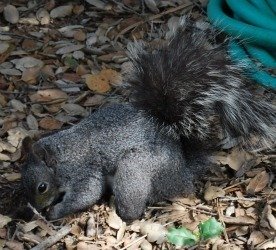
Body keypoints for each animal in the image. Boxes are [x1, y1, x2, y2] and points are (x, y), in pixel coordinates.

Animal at [20, 18, 276, 221]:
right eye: (23, 180)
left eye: (42, 187)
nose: (34, 210)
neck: (60, 153)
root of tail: (182, 174)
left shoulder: (81, 171)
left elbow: (86, 193)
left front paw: (55, 212)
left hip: (135, 168)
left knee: (133, 205)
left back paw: (122, 213)